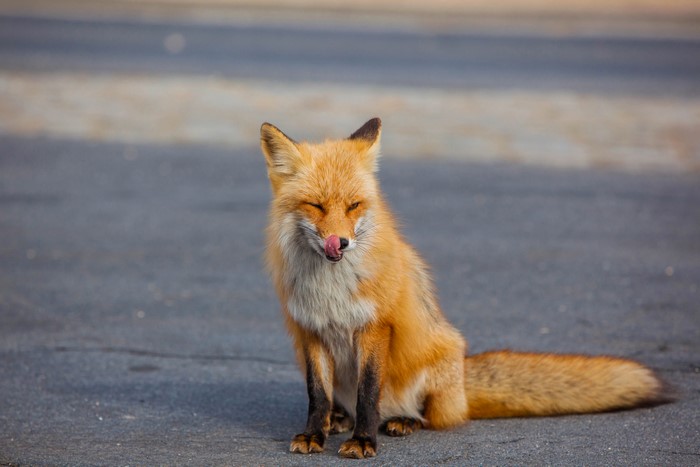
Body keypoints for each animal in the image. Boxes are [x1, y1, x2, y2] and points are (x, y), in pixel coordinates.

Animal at [259, 117, 667, 459]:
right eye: (315, 205)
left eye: (354, 205)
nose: (340, 243)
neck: (331, 288)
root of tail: (463, 386)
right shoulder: (310, 330)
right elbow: (317, 395)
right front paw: (314, 433)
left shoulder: (375, 328)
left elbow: (368, 394)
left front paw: (364, 440)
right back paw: (339, 419)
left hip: (433, 364)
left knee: (428, 415)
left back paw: (402, 421)